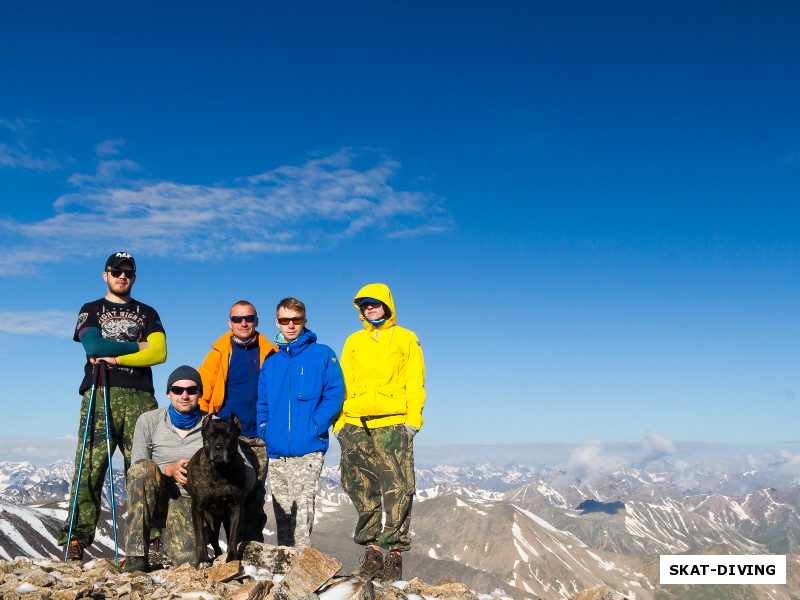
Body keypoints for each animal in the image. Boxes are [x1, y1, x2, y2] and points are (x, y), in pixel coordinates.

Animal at [185, 414, 245, 564]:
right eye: (211, 435)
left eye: (229, 436)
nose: (219, 447)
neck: (219, 471)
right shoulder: (198, 508)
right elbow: (200, 536)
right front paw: (202, 559)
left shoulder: (236, 507)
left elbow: (233, 535)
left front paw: (232, 557)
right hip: (211, 518)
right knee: (212, 538)